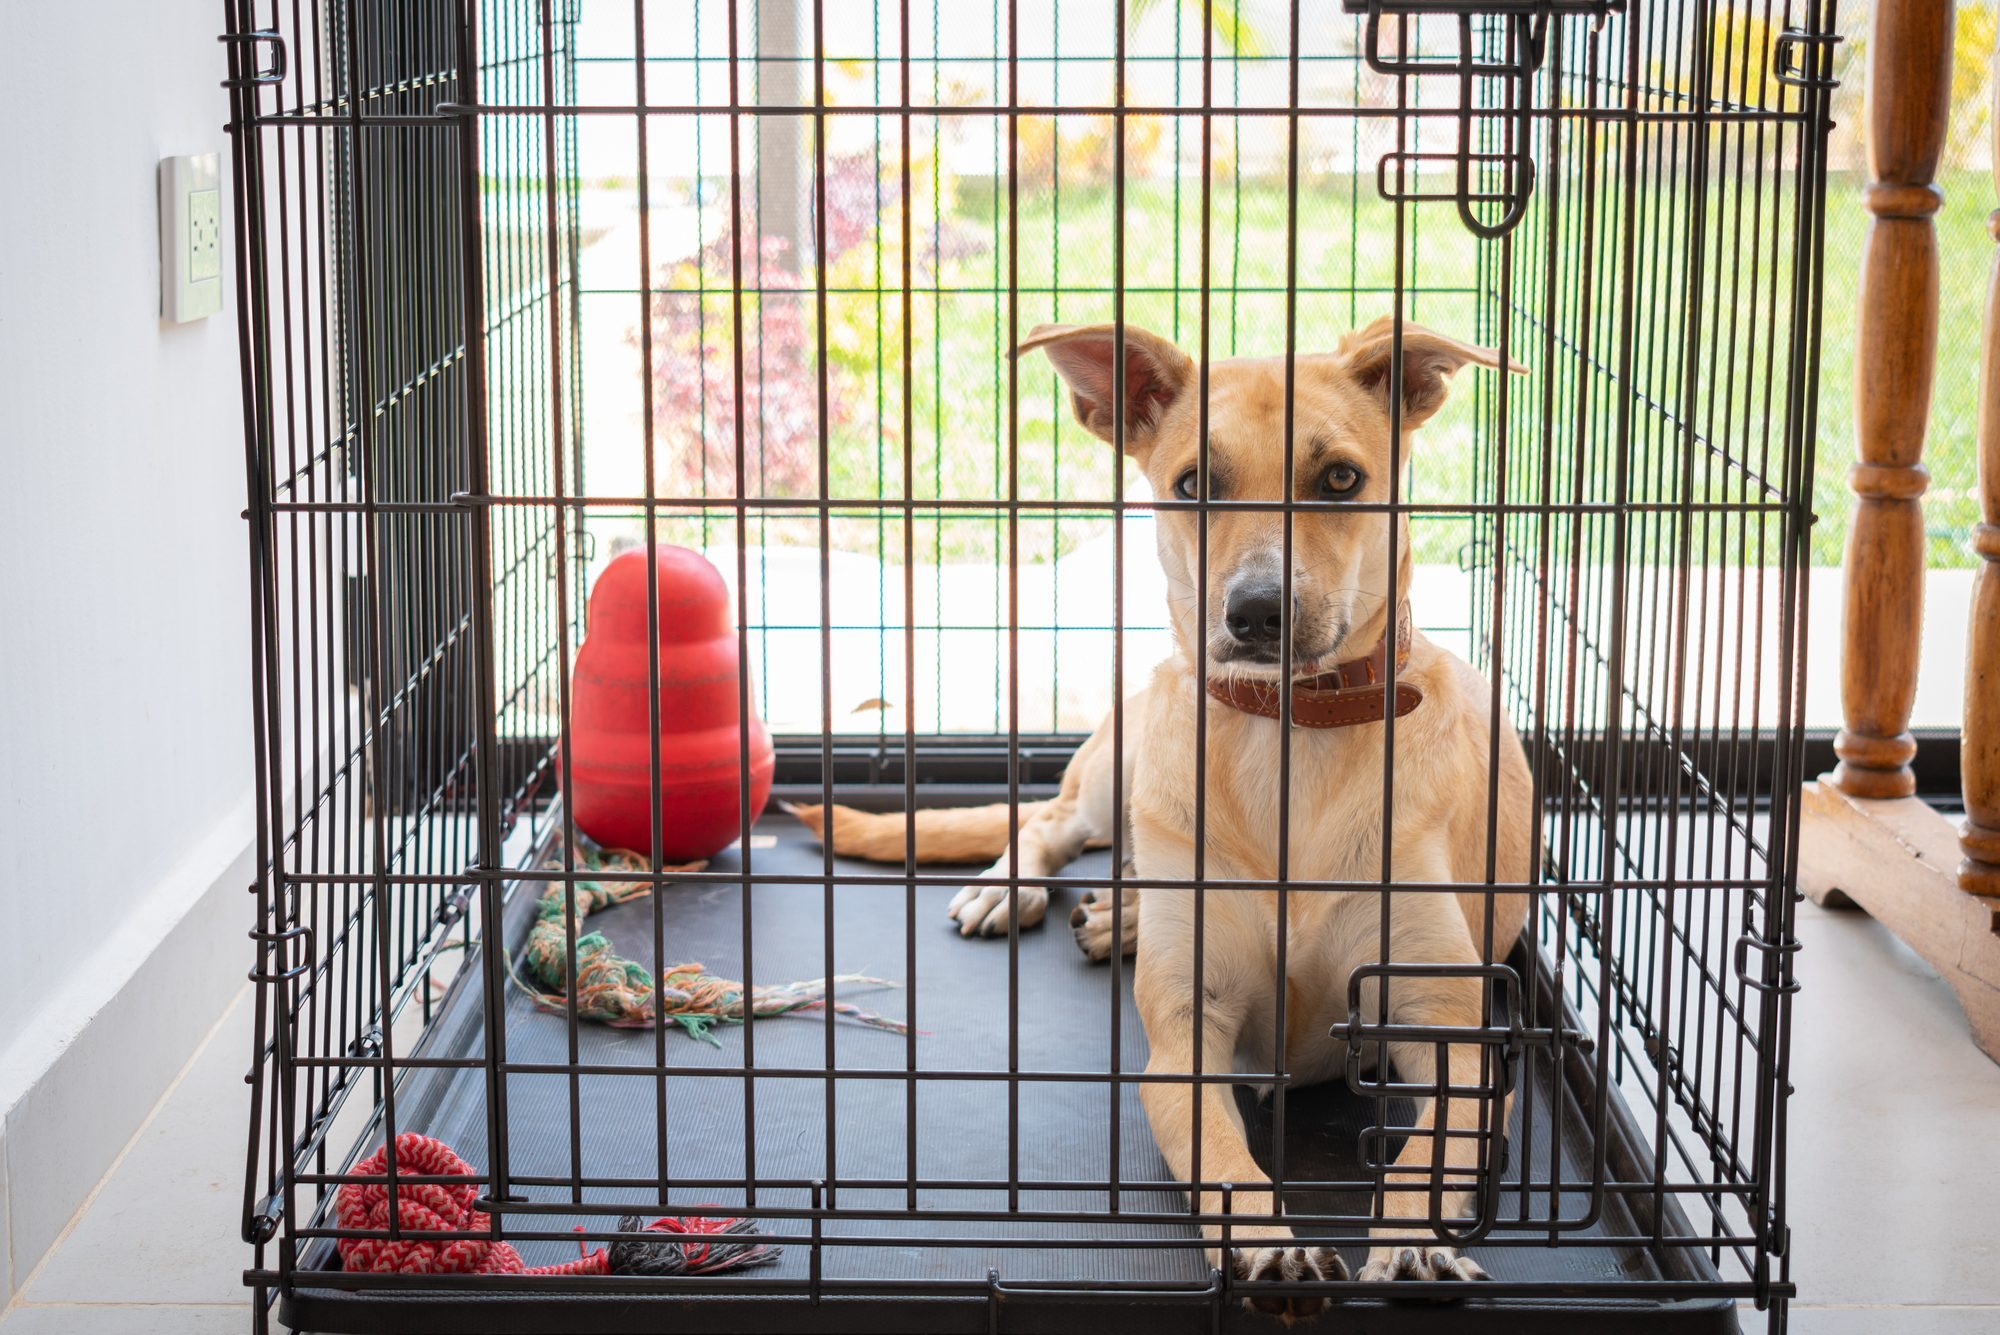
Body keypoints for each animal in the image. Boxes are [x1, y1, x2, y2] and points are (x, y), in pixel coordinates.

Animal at [792, 317, 1528, 1319]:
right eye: (1191, 484)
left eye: (1341, 478)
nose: (1255, 612)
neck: (1288, 734)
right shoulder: (1187, 1043)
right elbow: (1223, 1158)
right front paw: (1267, 1248)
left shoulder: (1452, 1038)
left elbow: (1423, 1155)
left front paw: (1412, 1245)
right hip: (1128, 751)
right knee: (1058, 819)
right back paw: (1020, 889)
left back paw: (1124, 915)